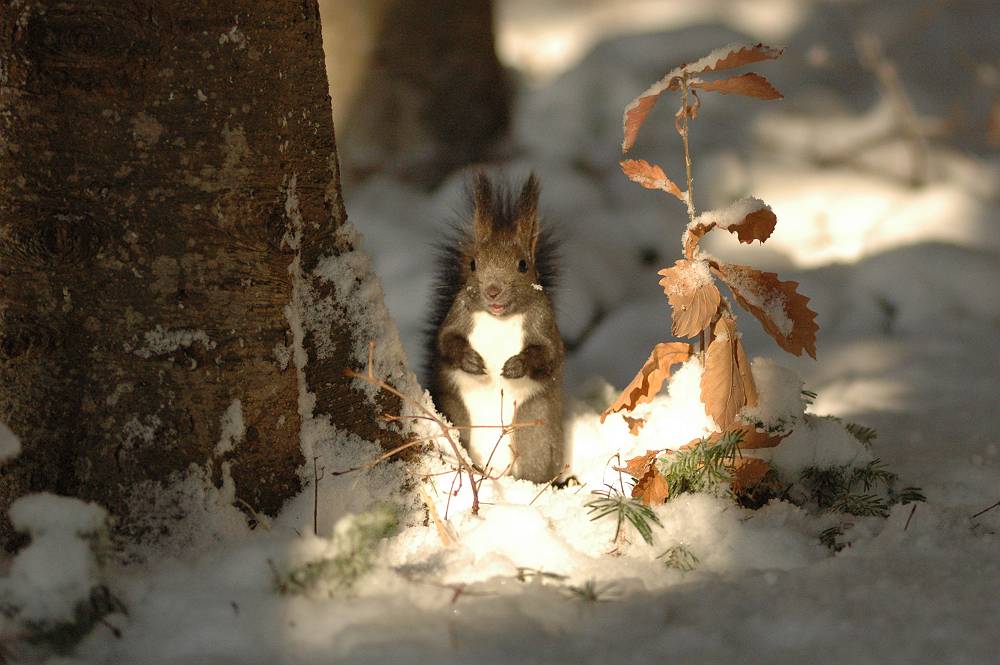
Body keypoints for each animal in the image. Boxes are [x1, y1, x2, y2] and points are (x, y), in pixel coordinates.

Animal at [422, 172, 568, 482]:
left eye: (523, 265)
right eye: (473, 264)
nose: (492, 291)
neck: (499, 318)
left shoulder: (544, 323)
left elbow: (549, 354)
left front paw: (518, 365)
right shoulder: (458, 315)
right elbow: (444, 341)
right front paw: (469, 360)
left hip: (533, 428)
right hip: (458, 417)